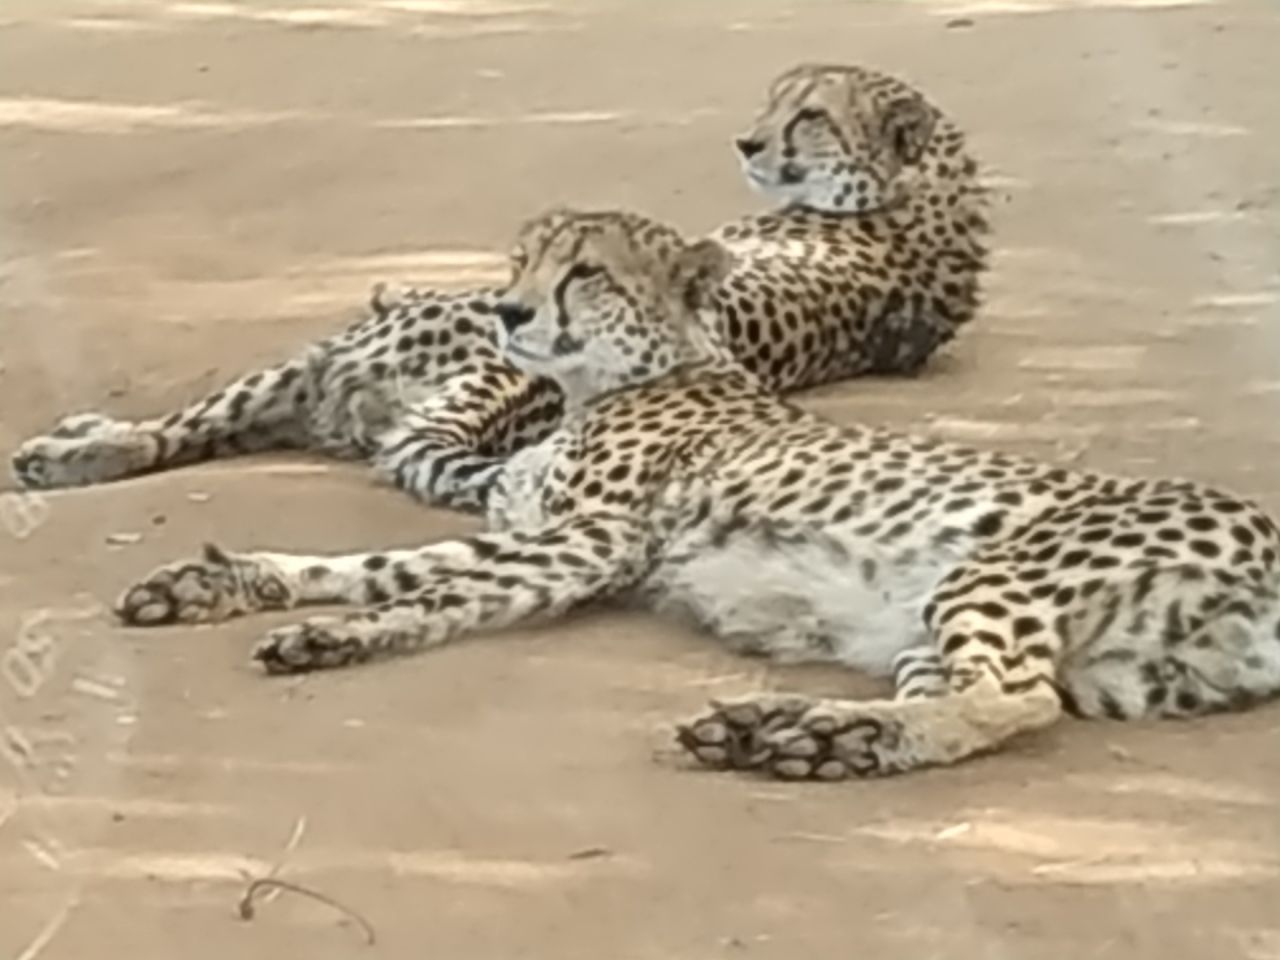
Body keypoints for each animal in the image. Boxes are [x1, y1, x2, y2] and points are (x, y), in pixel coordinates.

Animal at [12, 63, 988, 514]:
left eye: (810, 114)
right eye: (776, 101)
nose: (748, 143)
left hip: (329, 363)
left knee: (178, 432)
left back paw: (68, 452)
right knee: (187, 435)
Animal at [115, 208, 1280, 783]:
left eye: (584, 271)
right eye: (520, 260)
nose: (506, 311)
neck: (618, 377)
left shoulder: (591, 544)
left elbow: (427, 591)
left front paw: (343, 638)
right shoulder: (545, 533)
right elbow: (378, 569)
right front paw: (232, 590)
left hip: (992, 573)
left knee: (1017, 699)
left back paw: (808, 740)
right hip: (1021, 647)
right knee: (971, 698)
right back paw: (804, 737)